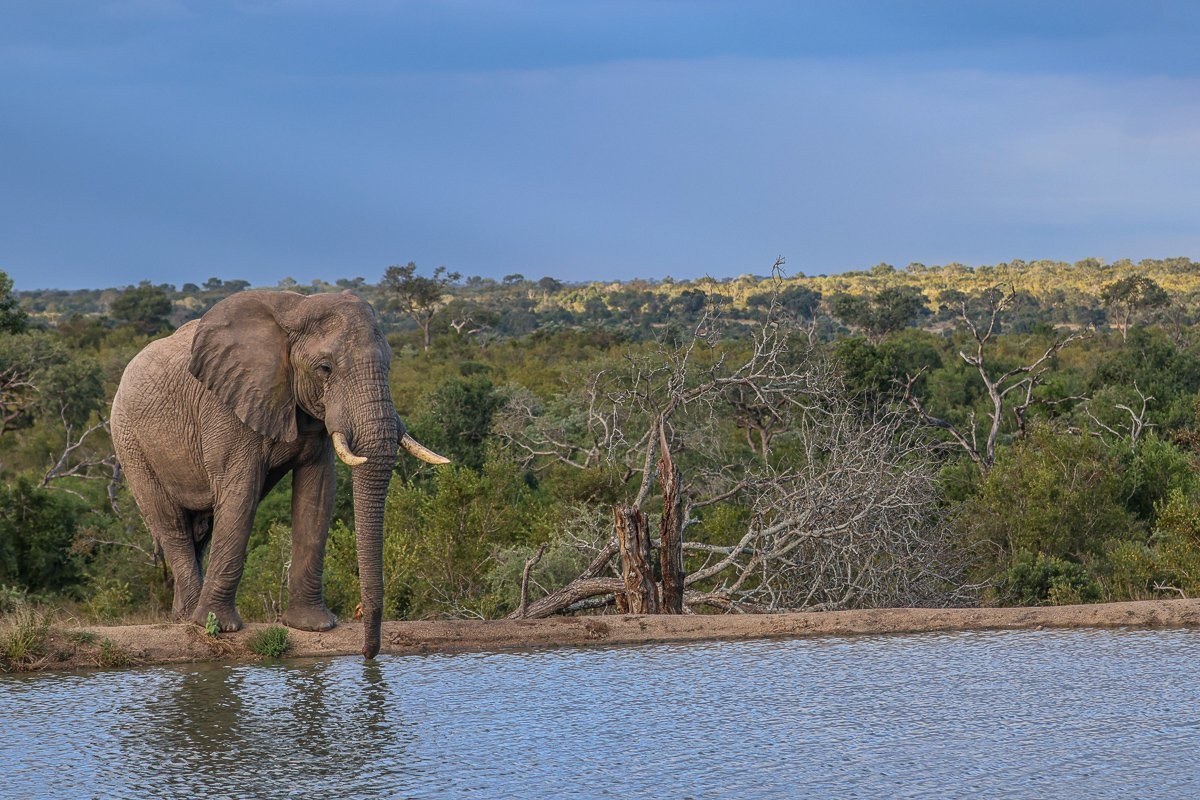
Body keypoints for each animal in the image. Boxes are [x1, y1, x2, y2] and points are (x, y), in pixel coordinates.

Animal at [110, 290, 448, 658]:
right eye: (325, 369)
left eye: (388, 365)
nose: (368, 654)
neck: (296, 308)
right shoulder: (226, 406)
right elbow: (240, 494)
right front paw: (219, 627)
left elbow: (317, 495)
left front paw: (313, 626)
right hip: (129, 441)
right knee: (171, 524)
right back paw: (191, 619)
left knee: (201, 529)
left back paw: (184, 616)